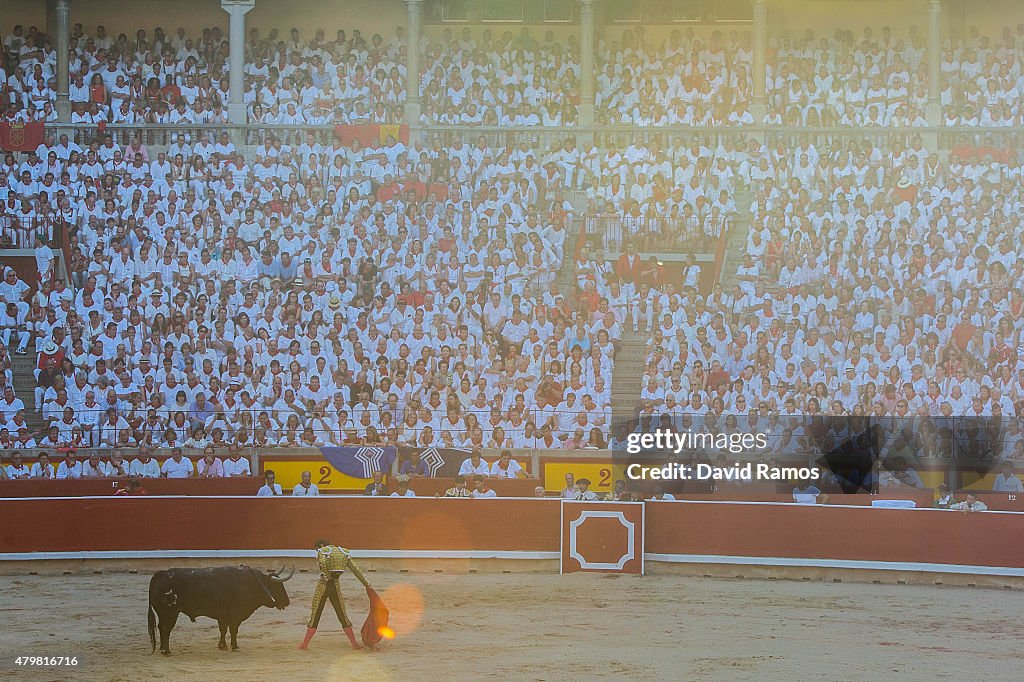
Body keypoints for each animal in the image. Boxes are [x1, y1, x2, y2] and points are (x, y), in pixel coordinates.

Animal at [148, 561, 292, 655]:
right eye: (278, 586)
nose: (287, 602)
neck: (252, 583)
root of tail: (160, 574)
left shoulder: (222, 616)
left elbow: (223, 630)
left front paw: (222, 646)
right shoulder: (235, 616)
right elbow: (233, 630)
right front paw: (234, 646)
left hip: (164, 613)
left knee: (161, 628)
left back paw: (162, 648)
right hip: (169, 613)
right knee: (166, 628)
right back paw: (166, 650)